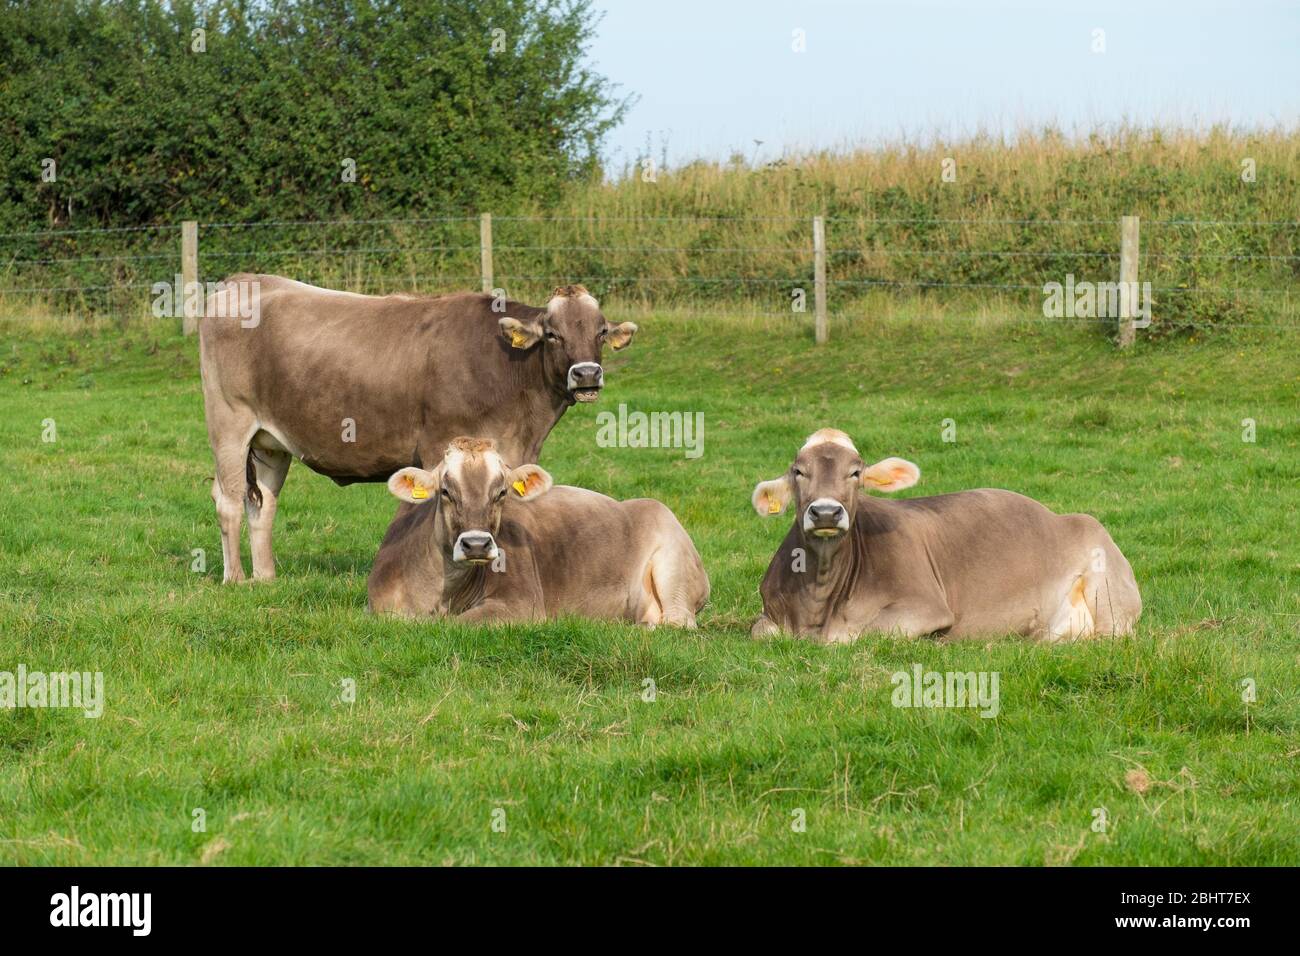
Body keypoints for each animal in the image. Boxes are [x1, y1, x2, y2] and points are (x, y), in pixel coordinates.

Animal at [199, 276, 637, 583]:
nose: (586, 374)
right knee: (229, 501)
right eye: (552, 333)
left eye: (600, 331)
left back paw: (266, 578)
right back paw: (235, 579)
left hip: (270, 443)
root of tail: (244, 280)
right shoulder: (437, 449)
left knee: (262, 505)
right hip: (229, 424)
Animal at [367, 437, 710, 625]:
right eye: (446, 491)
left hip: (674, 565)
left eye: (501, 492)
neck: (440, 595)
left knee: (678, 621)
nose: (476, 544)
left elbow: (457, 625)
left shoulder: (521, 603)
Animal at [749, 428, 1141, 643]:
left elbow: (847, 635)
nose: (827, 512)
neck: (817, 600)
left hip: (1109, 594)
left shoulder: (924, 606)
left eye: (856, 472)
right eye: (798, 471)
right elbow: (759, 630)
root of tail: (1062, 516)